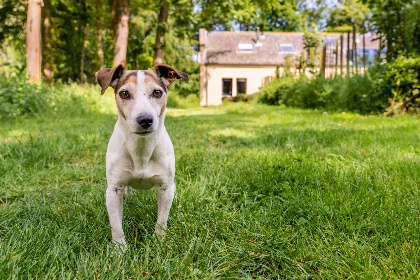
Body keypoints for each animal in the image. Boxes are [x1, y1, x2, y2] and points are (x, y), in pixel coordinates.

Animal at [96, 63, 188, 247]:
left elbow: (162, 220)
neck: (141, 147)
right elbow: (116, 225)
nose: (145, 119)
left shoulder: (166, 188)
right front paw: (119, 248)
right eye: (124, 93)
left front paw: (158, 241)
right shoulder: (113, 190)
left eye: (157, 92)